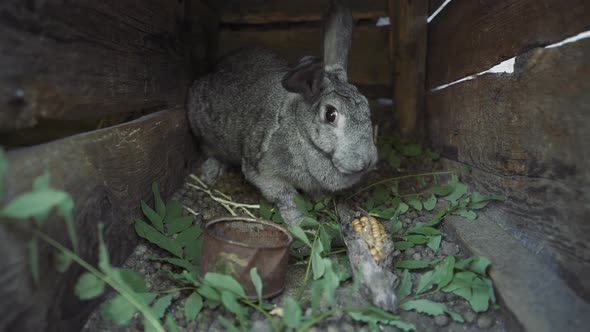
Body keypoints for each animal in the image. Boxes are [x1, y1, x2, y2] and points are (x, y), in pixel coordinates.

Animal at [187, 0, 376, 226]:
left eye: (366, 105)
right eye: (331, 114)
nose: (367, 161)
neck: (302, 132)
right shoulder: (265, 174)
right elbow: (286, 197)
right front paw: (300, 223)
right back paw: (211, 172)